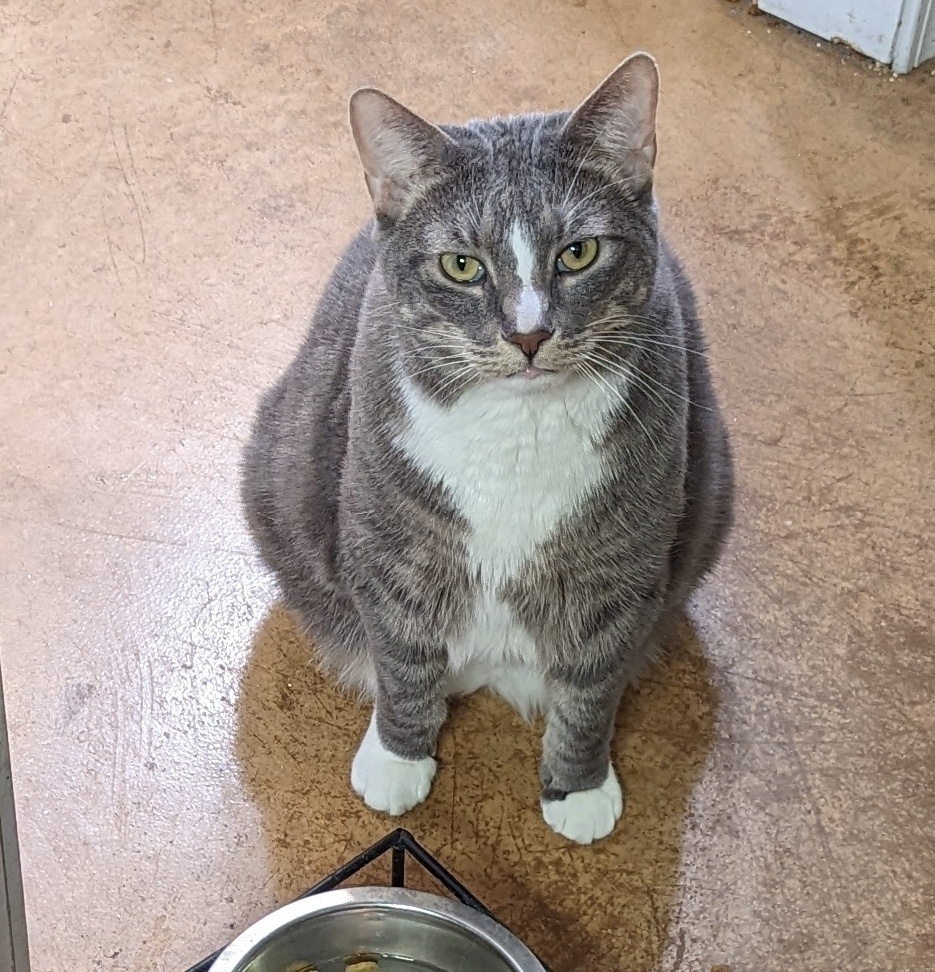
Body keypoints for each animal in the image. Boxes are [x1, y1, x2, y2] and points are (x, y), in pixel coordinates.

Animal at [239, 53, 732, 844]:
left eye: (578, 252)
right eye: (461, 266)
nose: (529, 334)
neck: (517, 432)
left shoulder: (619, 565)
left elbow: (591, 686)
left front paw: (577, 790)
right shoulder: (390, 541)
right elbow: (404, 657)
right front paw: (399, 759)